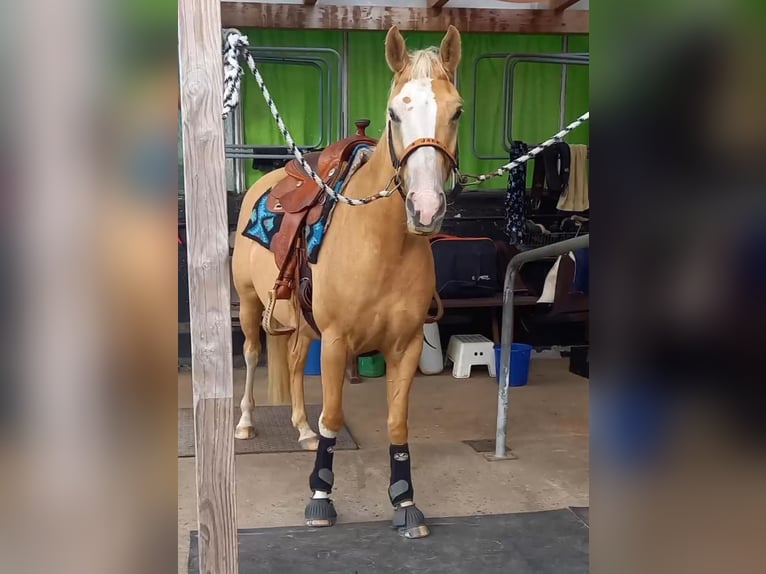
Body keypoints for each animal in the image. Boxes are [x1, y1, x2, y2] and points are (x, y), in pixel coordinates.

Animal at [231, 25, 463, 538]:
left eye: (456, 111)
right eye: (395, 112)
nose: (425, 209)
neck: (381, 244)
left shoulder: (406, 345)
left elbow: (397, 422)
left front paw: (405, 501)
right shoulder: (336, 341)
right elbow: (334, 416)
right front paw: (320, 496)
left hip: (301, 319)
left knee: (295, 360)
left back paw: (300, 427)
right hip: (250, 304)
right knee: (254, 355)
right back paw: (246, 423)